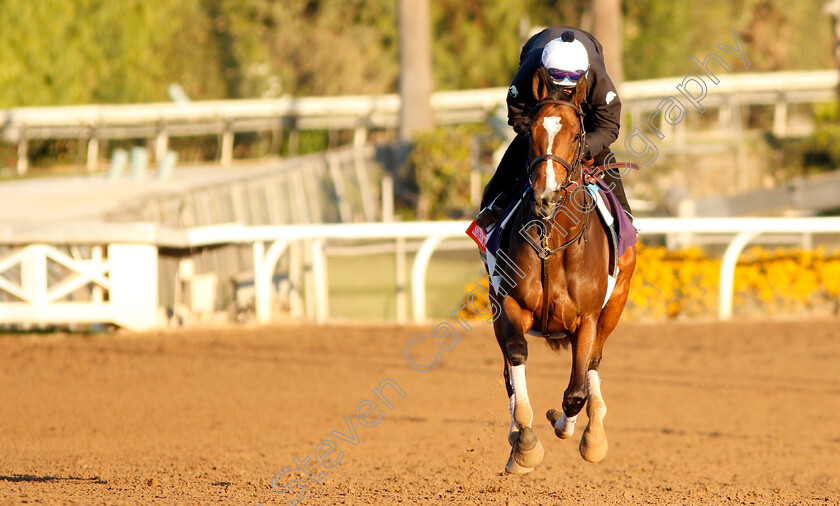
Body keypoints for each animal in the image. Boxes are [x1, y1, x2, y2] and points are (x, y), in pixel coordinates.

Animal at [486, 67, 636, 474]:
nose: (546, 195)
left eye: (576, 134)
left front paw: (567, 426)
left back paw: (594, 434)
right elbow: (516, 358)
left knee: (593, 365)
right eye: (532, 132)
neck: (552, 243)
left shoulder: (587, 319)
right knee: (508, 371)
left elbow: (575, 393)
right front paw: (525, 442)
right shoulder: (509, 305)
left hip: (614, 307)